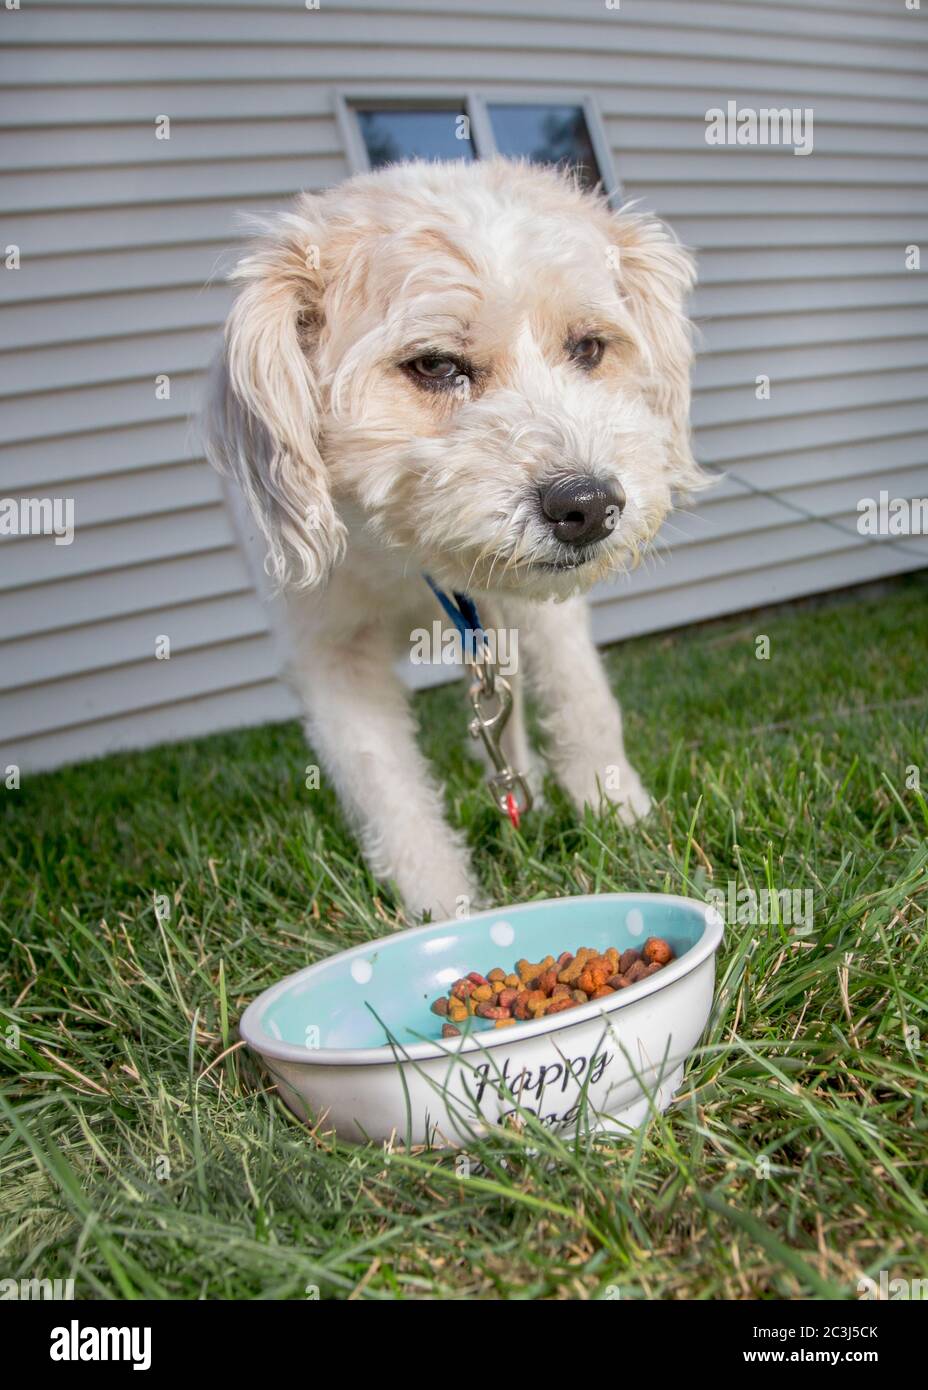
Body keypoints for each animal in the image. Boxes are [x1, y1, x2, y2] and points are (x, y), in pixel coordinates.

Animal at [206, 157, 702, 922]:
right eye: (436, 366)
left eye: (588, 348)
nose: (590, 506)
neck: (410, 557)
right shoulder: (328, 651)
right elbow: (388, 793)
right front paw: (444, 913)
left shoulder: (538, 610)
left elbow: (585, 705)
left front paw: (622, 818)